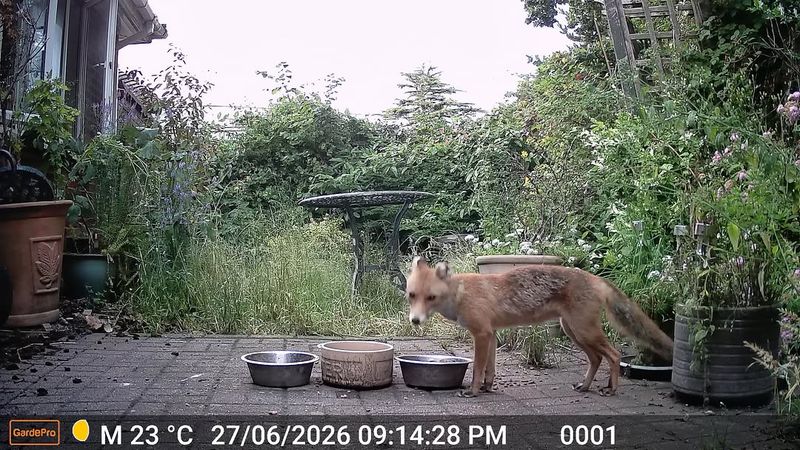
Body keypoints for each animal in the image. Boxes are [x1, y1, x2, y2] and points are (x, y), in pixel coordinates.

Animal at [405, 256, 673, 397]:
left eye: (431, 298)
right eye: (412, 295)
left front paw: (473, 391)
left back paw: (612, 389)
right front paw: (487, 388)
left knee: (614, 355)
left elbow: (478, 369)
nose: (414, 321)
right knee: (597, 359)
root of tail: (594, 277)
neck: (460, 294)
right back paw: (586, 386)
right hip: (574, 332)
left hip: (584, 332)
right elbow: (489, 370)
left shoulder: (481, 334)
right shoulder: (491, 334)